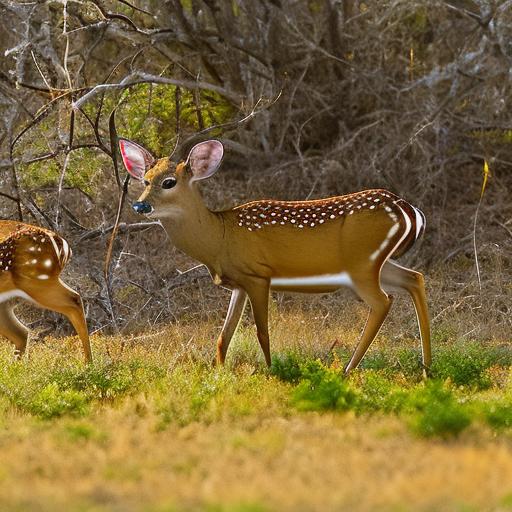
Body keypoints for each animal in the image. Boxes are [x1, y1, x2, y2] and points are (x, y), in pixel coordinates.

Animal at [120, 138, 432, 374]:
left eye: (169, 182)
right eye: (145, 180)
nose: (140, 206)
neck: (221, 237)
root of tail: (409, 209)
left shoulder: (258, 275)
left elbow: (262, 331)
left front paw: (270, 370)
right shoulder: (238, 284)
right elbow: (224, 335)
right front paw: (217, 370)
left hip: (362, 266)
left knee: (383, 301)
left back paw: (349, 368)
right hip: (379, 263)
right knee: (414, 279)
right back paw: (427, 366)